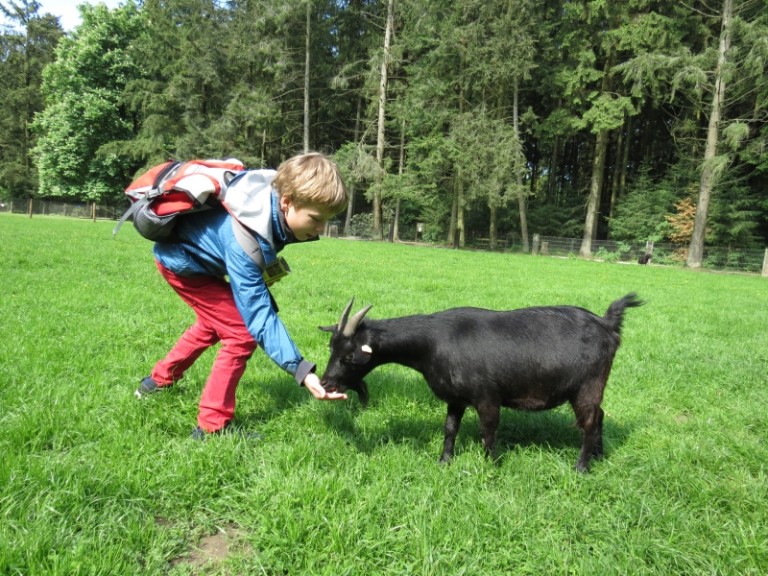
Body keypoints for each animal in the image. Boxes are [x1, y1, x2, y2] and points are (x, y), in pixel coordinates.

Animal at [320, 292, 644, 472]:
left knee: (588, 422)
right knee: (599, 416)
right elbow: (450, 429)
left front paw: (491, 467)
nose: (326, 384)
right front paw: (444, 462)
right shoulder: (455, 398)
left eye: (349, 357)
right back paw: (598, 457)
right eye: (331, 348)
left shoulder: (487, 397)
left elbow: (488, 432)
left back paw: (581, 467)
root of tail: (607, 324)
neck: (432, 344)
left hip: (587, 386)